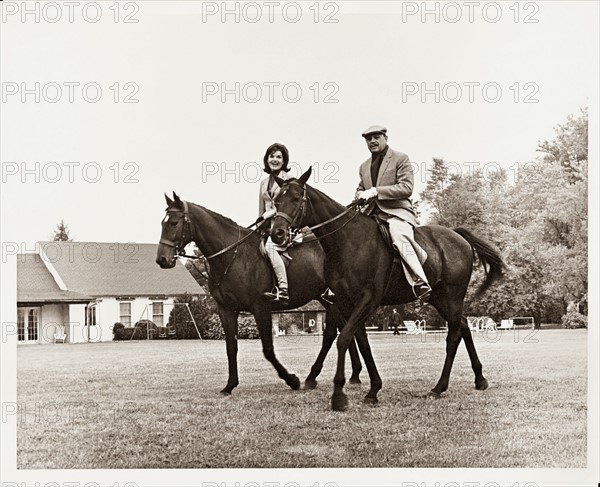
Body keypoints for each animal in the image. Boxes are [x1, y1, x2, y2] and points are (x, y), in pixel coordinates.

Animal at [155, 193, 366, 394]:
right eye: (162, 223)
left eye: (173, 223)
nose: (162, 259)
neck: (232, 256)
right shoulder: (226, 310)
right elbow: (231, 348)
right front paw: (230, 385)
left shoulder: (260, 307)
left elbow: (268, 350)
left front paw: (292, 380)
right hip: (329, 299)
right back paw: (353, 374)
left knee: (337, 332)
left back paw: (316, 377)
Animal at [270, 169, 504, 412]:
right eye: (276, 200)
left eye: (296, 198)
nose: (277, 233)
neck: (347, 242)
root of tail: (457, 235)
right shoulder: (345, 302)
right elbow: (362, 343)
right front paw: (373, 389)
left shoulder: (368, 299)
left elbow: (343, 339)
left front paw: (339, 395)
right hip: (440, 299)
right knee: (464, 327)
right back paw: (479, 379)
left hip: (452, 296)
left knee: (454, 336)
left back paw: (439, 387)